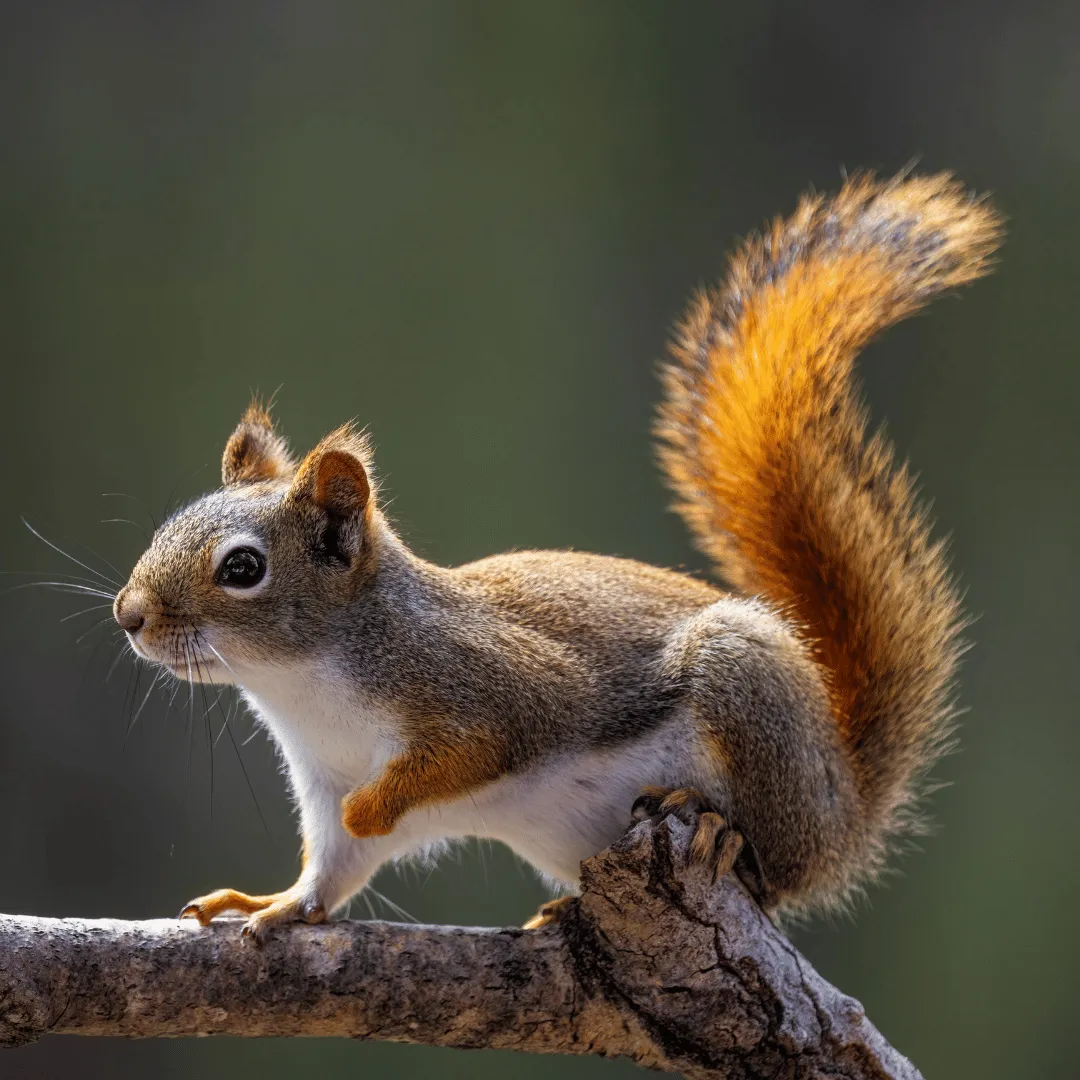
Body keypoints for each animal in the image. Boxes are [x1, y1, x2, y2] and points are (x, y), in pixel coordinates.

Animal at [111, 172, 1001, 943]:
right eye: (170, 526)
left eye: (242, 569)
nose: (130, 615)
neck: (306, 686)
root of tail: (844, 811)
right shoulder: (324, 782)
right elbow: (333, 868)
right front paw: (278, 903)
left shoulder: (494, 690)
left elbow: (460, 758)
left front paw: (377, 807)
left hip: (745, 692)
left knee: (774, 868)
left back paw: (721, 828)